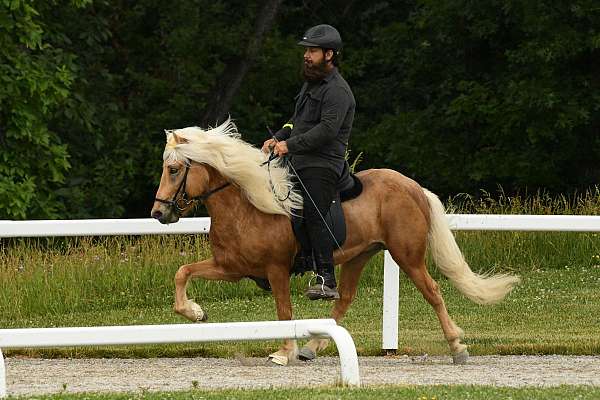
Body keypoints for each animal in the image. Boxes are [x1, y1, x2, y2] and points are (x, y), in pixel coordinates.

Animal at [151, 119, 520, 366]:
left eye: (174, 169)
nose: (159, 212)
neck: (247, 205)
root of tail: (412, 187)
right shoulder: (232, 267)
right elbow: (183, 272)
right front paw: (195, 312)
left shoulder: (276, 270)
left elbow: (283, 311)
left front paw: (282, 352)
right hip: (359, 255)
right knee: (344, 300)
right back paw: (312, 347)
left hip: (407, 256)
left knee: (433, 292)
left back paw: (457, 347)